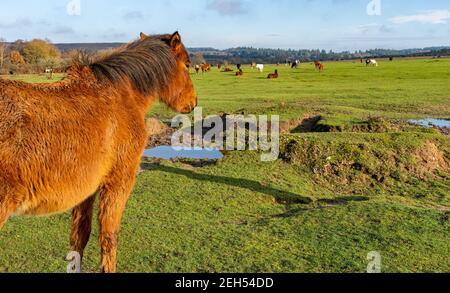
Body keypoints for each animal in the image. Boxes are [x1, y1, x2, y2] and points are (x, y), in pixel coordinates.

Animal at [0, 31, 197, 272]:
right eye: (187, 64)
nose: (193, 102)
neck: (123, 96)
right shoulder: (118, 183)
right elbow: (109, 236)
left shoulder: (86, 190)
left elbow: (79, 237)